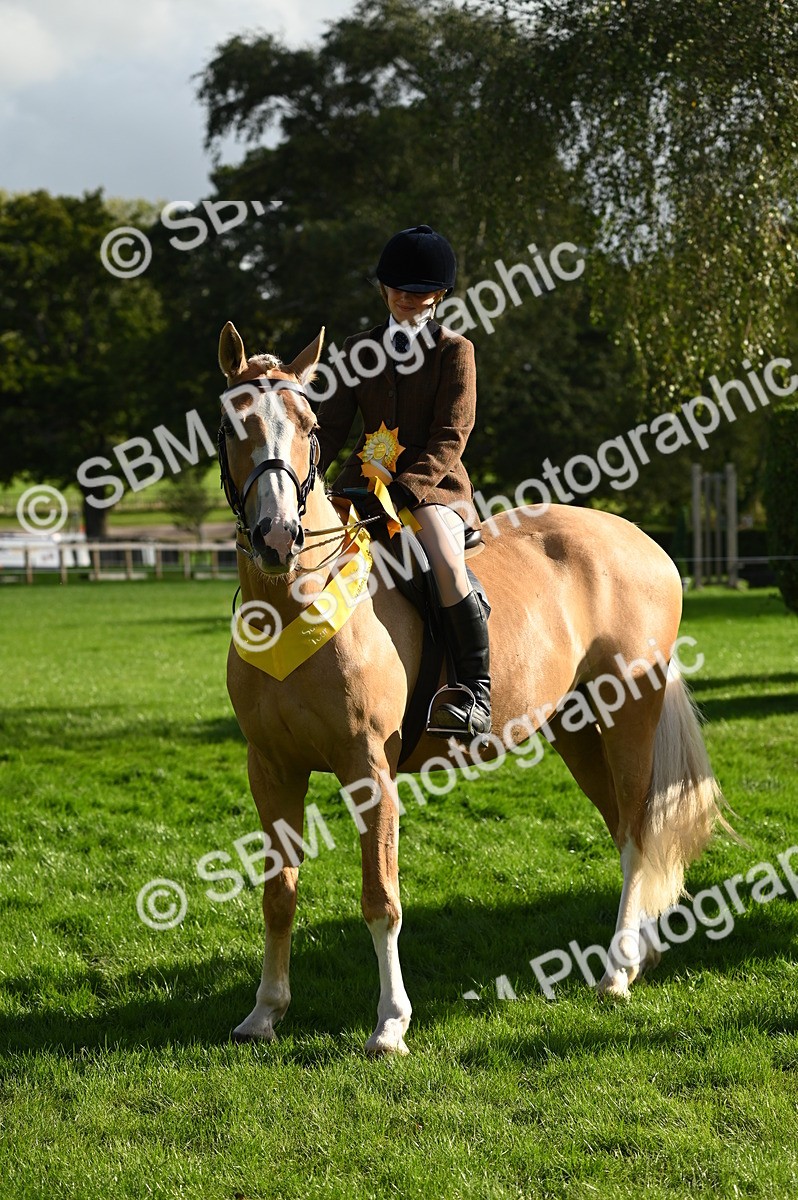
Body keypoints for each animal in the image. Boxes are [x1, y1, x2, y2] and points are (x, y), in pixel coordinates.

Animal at [216, 319, 727, 1056]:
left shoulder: (368, 769)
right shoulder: (272, 767)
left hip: (629, 715)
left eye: (308, 425)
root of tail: (642, 542)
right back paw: (639, 952)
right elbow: (278, 892)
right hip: (578, 730)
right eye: (234, 424)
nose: (279, 536)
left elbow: (381, 898)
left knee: (635, 829)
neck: (293, 602)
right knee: (625, 828)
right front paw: (265, 1012)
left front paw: (390, 1024)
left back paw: (615, 974)